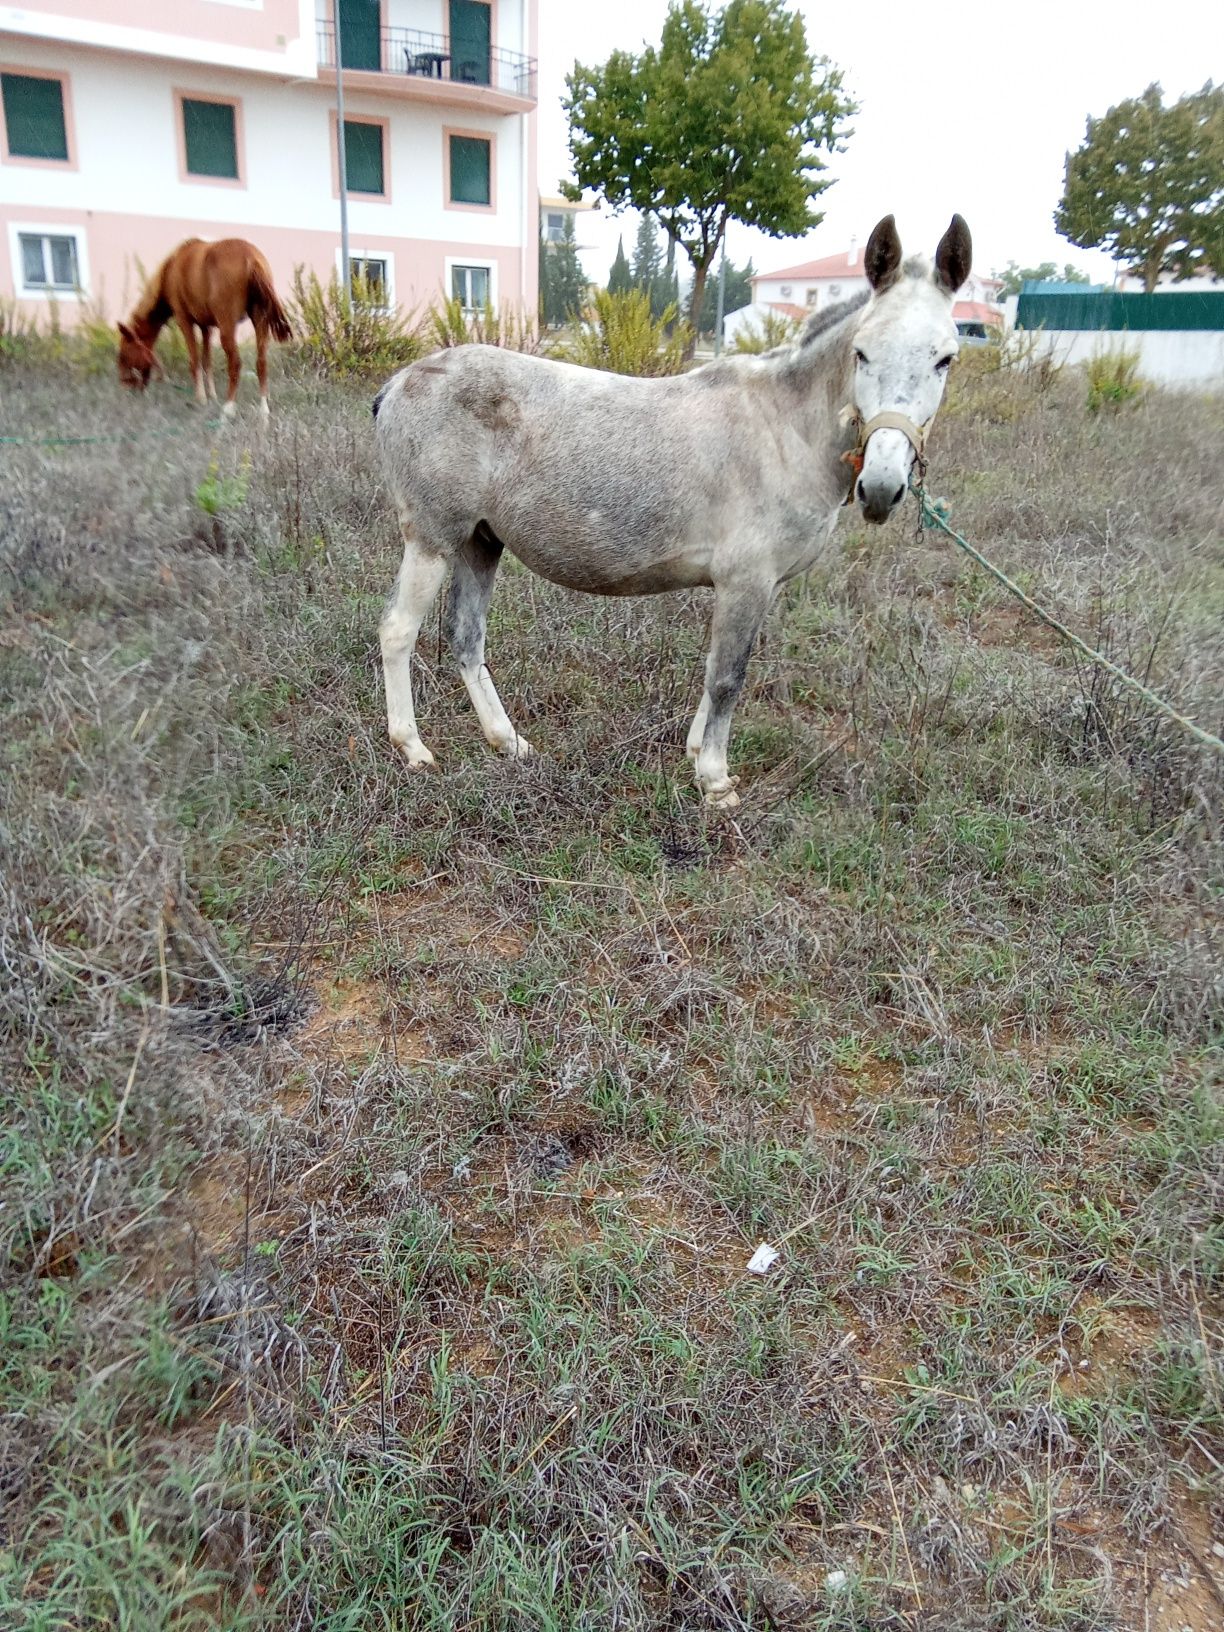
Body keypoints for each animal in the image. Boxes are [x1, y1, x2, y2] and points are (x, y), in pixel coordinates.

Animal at [118, 239, 293, 421]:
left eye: (123, 355)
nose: (125, 388)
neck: (172, 267)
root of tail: (251, 258)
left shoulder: (184, 321)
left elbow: (194, 360)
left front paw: (201, 399)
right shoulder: (206, 327)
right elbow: (207, 361)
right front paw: (212, 397)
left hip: (228, 327)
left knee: (235, 363)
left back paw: (228, 409)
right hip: (260, 321)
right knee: (261, 363)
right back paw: (263, 411)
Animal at [368, 210, 972, 809]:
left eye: (945, 359)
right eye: (861, 353)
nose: (882, 486)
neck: (782, 428)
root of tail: (399, 381)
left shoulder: (751, 588)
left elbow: (714, 670)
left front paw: (696, 752)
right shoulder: (746, 582)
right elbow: (728, 677)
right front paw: (715, 780)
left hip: (480, 541)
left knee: (466, 638)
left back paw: (508, 741)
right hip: (433, 541)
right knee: (398, 630)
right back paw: (412, 748)